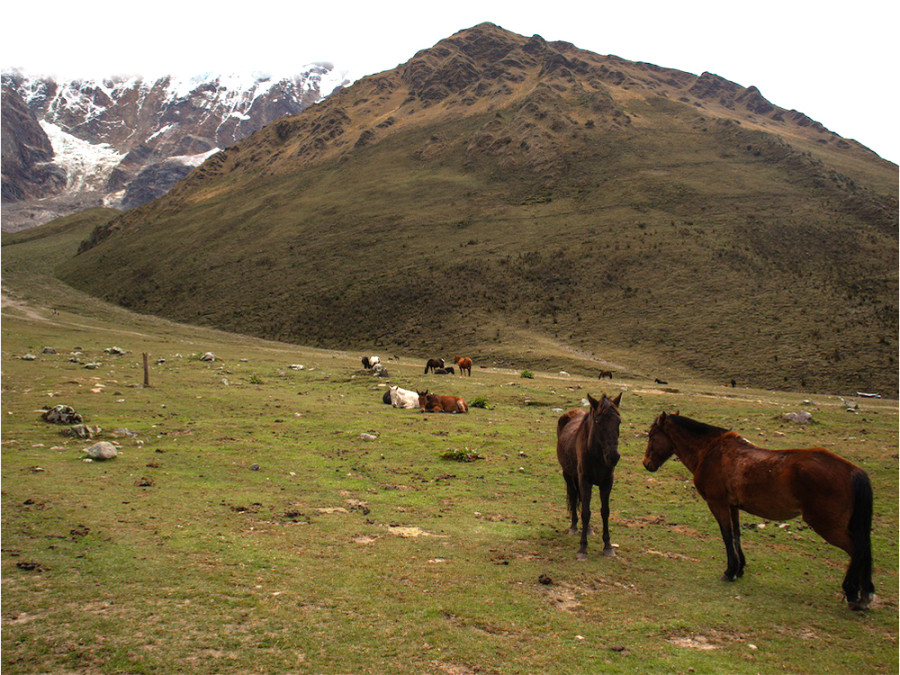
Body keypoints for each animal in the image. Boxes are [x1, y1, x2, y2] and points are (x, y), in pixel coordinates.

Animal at [552, 390, 624, 560]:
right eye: (598, 421)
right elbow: (585, 512)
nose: (613, 457)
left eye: (619, 421)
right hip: (568, 474)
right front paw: (582, 548)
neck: (597, 455)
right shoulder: (585, 481)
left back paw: (589, 529)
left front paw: (608, 546)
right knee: (574, 496)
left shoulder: (607, 482)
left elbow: (605, 512)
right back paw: (573, 526)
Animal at [644, 412, 876, 612]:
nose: (646, 464)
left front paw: (730, 571)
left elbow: (726, 536)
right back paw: (864, 594)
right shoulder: (732, 506)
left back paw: (852, 592)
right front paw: (740, 569)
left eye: (652, 436)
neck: (710, 451)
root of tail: (853, 471)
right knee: (863, 549)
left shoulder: (717, 503)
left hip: (827, 525)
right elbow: (736, 535)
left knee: (857, 550)